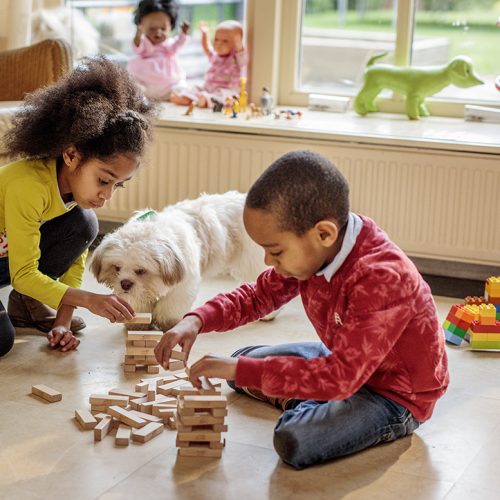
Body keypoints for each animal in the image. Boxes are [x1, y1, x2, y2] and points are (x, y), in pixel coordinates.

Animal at [90, 190, 270, 328]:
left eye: (141, 271)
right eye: (117, 268)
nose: (125, 283)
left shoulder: (182, 285)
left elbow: (170, 308)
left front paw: (166, 324)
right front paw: (137, 325)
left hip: (251, 261)